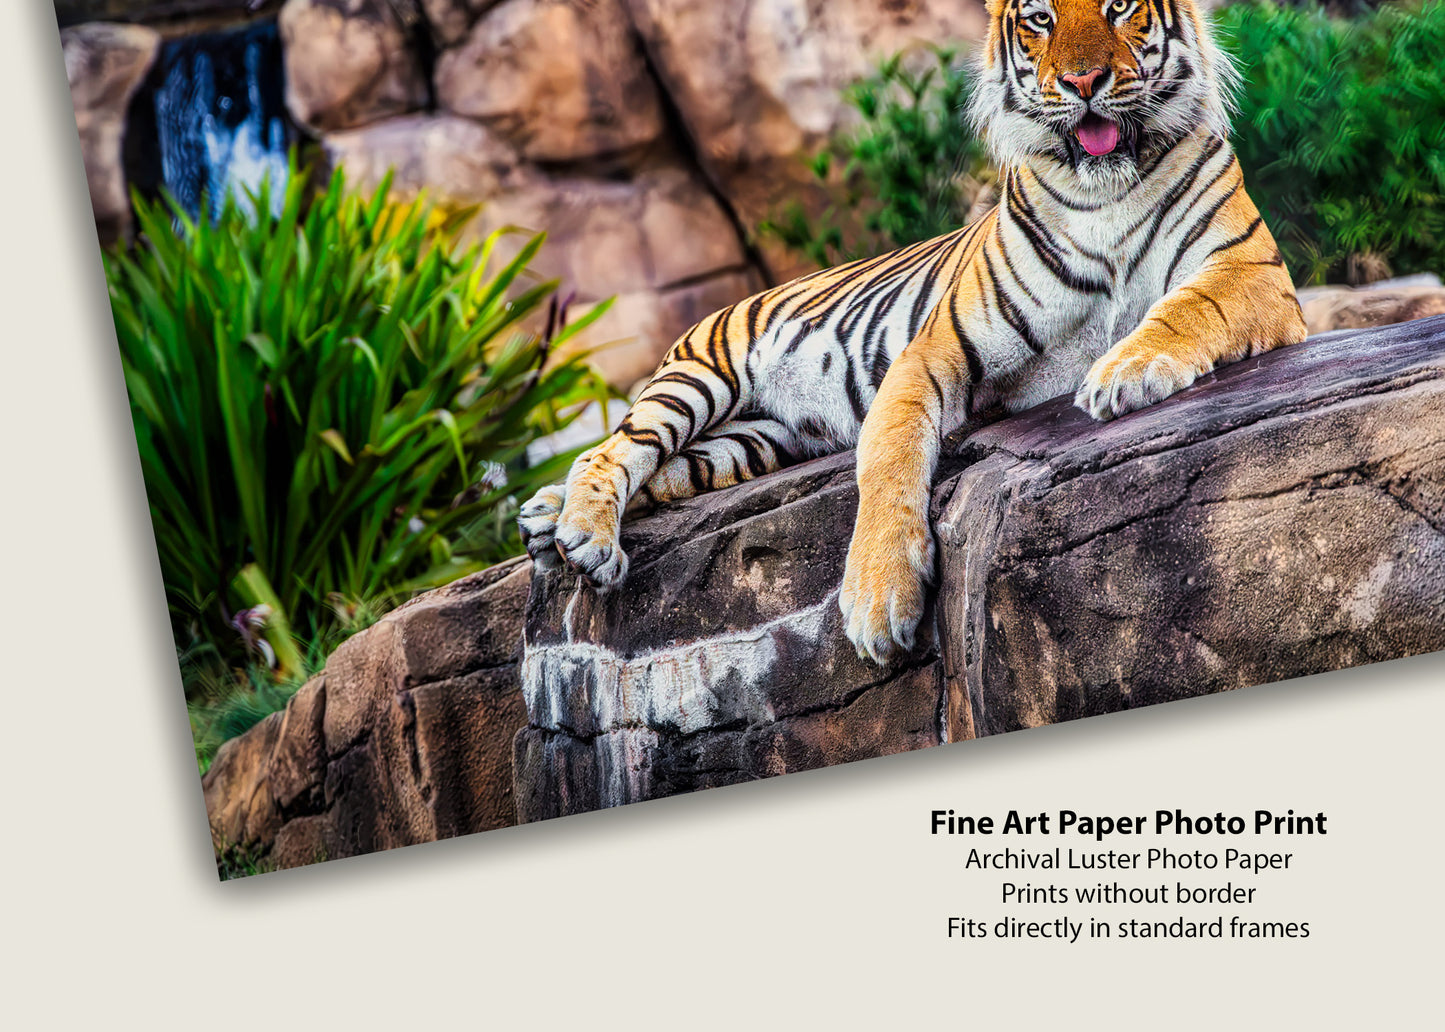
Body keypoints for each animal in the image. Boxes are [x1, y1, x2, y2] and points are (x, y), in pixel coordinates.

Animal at [517, 0, 1307, 665]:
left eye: (1117, 7)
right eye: (1040, 19)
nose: (1083, 81)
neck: (1103, 188)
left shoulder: (1249, 269)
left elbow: (1185, 308)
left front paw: (1123, 371)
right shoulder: (938, 347)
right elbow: (889, 454)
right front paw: (876, 601)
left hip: (753, 442)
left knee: (663, 468)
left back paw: (547, 518)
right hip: (700, 376)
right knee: (614, 448)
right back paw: (581, 535)